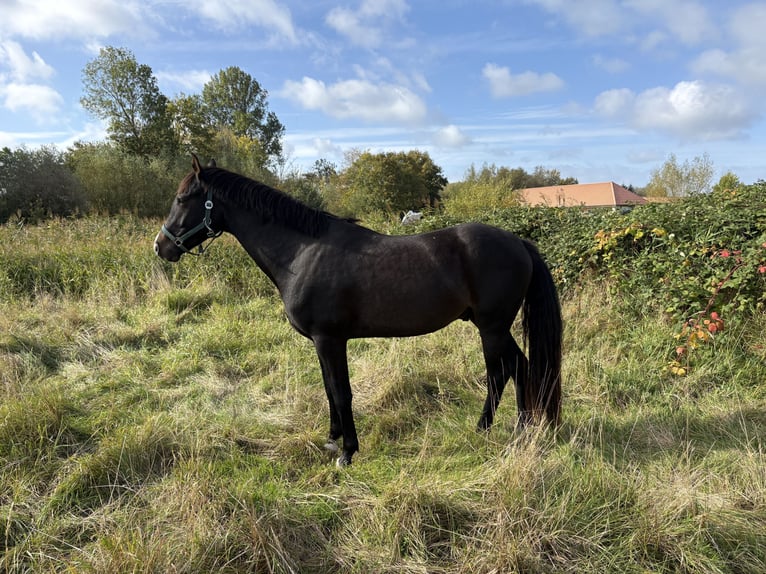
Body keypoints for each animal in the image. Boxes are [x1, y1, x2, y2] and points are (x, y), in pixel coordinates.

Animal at [155, 155, 562, 466]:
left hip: (492, 327)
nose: (161, 246)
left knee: (506, 371)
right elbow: (328, 390)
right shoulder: (322, 343)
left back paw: (506, 429)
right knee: (516, 368)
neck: (302, 253)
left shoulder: (330, 339)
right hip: (493, 328)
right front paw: (332, 439)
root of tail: (519, 243)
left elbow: (341, 391)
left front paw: (347, 452)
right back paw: (512, 428)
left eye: (183, 198)